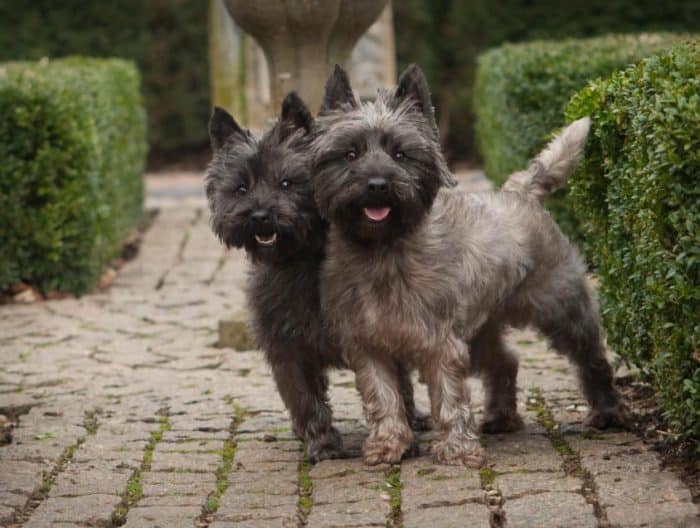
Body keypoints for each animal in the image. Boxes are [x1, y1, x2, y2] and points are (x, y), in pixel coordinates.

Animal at [312, 66, 628, 466]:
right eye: (350, 154)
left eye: (401, 154)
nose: (377, 184)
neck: (383, 251)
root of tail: (520, 190)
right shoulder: (369, 347)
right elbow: (383, 398)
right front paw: (388, 444)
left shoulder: (440, 342)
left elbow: (448, 397)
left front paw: (457, 449)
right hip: (481, 330)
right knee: (505, 362)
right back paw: (501, 417)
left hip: (561, 308)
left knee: (591, 357)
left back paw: (608, 411)